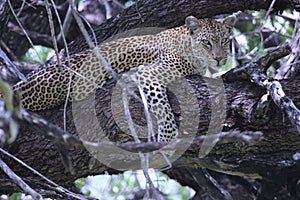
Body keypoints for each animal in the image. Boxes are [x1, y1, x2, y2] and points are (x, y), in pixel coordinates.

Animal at [10, 14, 236, 142]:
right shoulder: (148, 72)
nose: (219, 59)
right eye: (207, 42)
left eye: (225, 41)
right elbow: (163, 108)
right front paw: (168, 139)